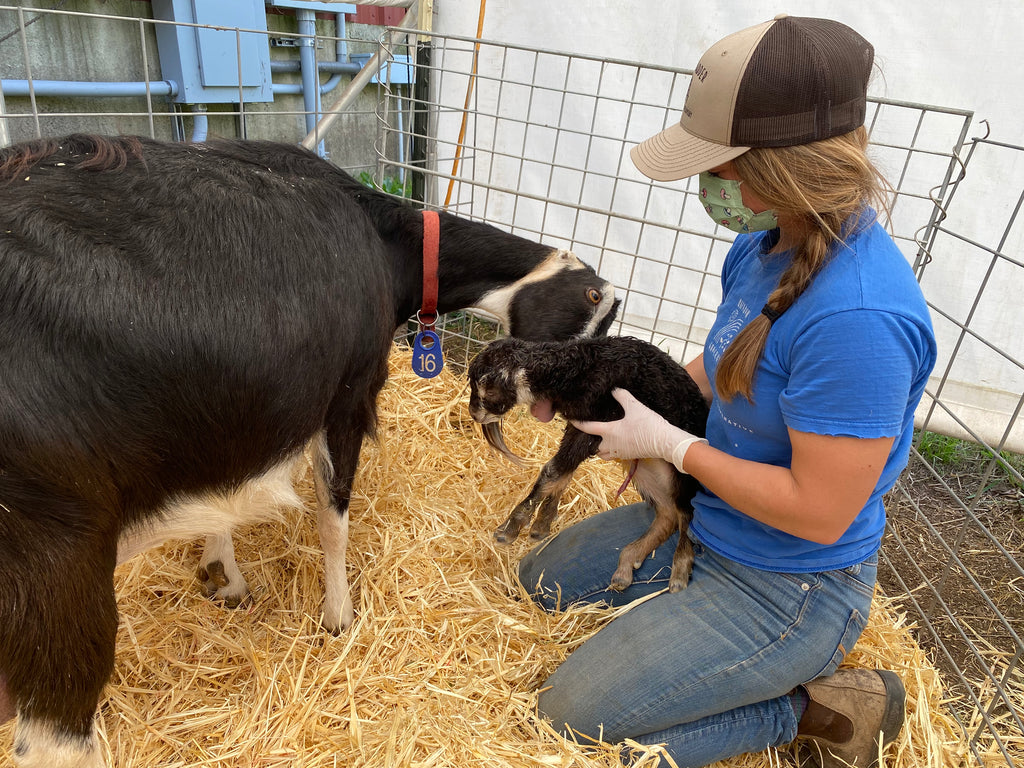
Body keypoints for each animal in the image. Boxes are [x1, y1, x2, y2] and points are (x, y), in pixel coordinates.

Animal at [0, 134, 614, 768]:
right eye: (592, 311)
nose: (586, 423)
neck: (386, 239)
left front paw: (223, 573)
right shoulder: (345, 393)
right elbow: (333, 515)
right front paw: (339, 616)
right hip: (55, 558)